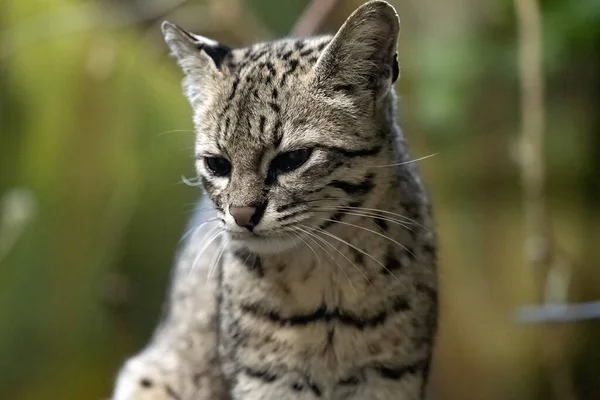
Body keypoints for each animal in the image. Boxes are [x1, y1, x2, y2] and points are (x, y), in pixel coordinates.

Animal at [112, 0, 438, 400]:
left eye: (292, 159)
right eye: (217, 164)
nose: (241, 215)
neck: (327, 276)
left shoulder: (391, 375)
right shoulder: (267, 379)